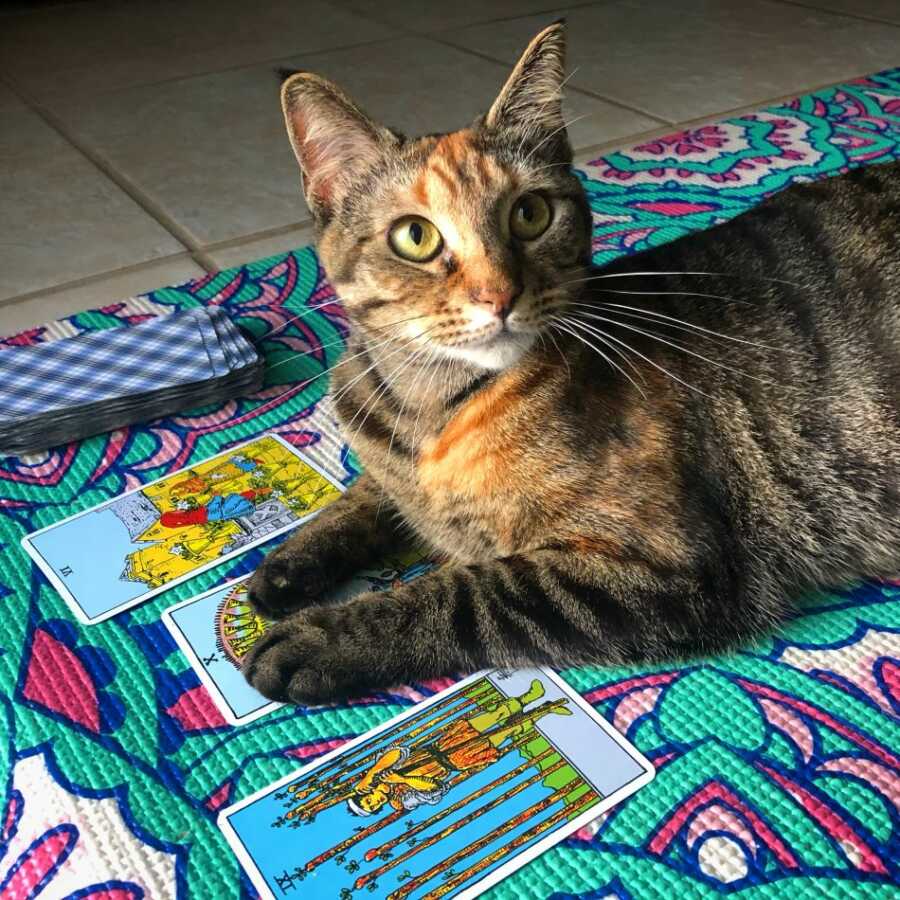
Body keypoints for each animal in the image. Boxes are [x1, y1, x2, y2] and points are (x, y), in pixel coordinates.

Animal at [239, 17, 900, 700]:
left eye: (530, 214)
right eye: (415, 236)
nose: (499, 294)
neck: (430, 408)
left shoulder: (666, 566)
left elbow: (469, 593)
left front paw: (323, 635)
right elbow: (366, 495)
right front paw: (290, 561)